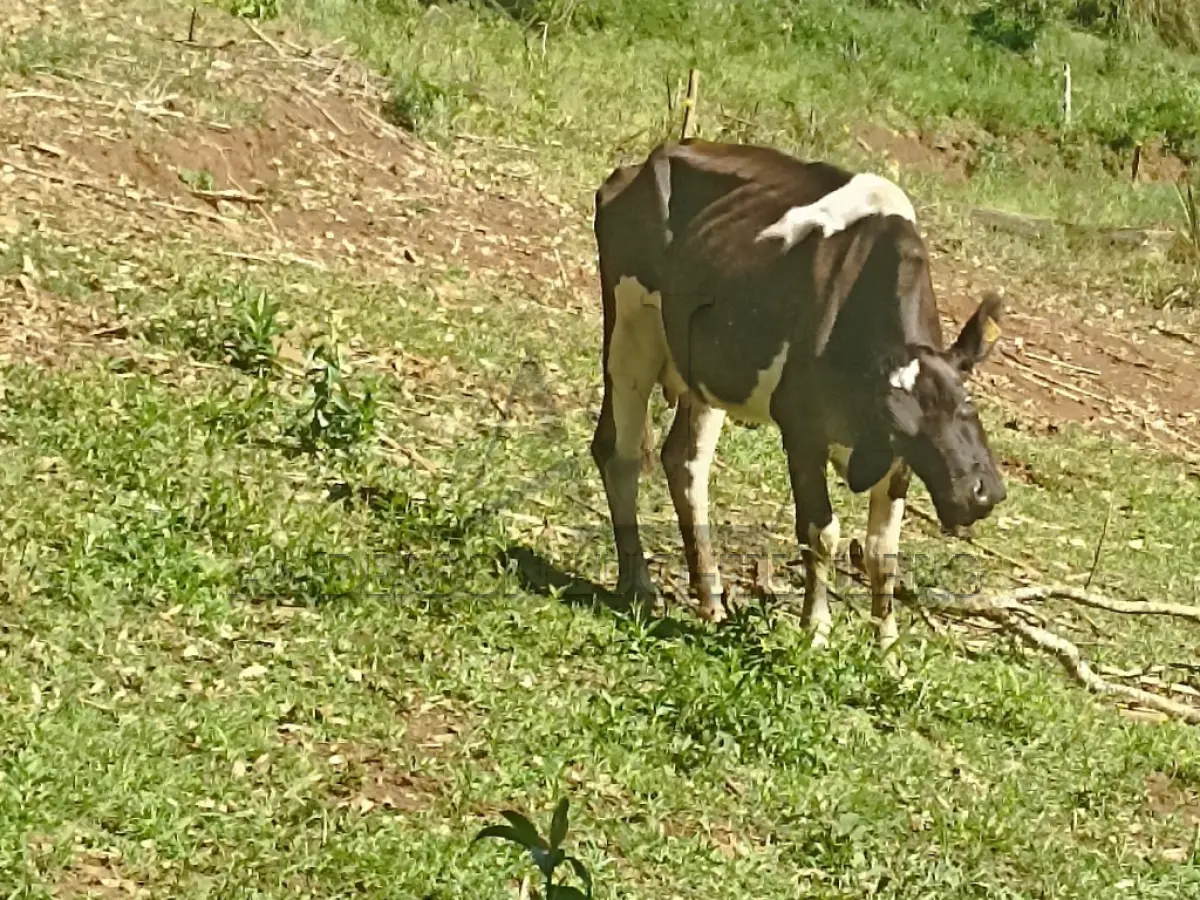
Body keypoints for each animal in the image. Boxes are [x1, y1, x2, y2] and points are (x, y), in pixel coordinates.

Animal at [588, 138, 1007, 651]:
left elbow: (882, 551)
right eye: (900, 426)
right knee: (620, 452)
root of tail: (654, 154)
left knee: (685, 463)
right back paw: (639, 586)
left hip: (704, 366)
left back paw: (710, 598)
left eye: (966, 404)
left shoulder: (899, 464)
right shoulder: (803, 429)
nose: (978, 493)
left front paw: (887, 649)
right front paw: (816, 632)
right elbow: (820, 531)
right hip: (631, 322)